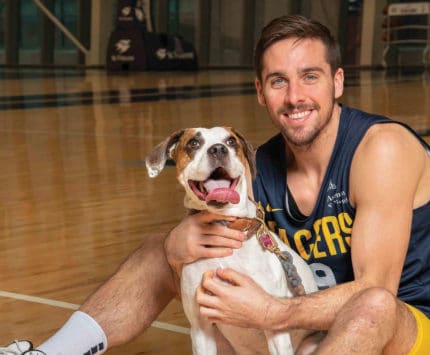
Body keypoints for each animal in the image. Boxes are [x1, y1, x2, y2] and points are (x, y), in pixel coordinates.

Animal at [146, 128, 318, 355]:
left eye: (231, 141)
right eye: (193, 143)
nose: (218, 149)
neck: (225, 226)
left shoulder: (274, 326)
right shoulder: (201, 329)